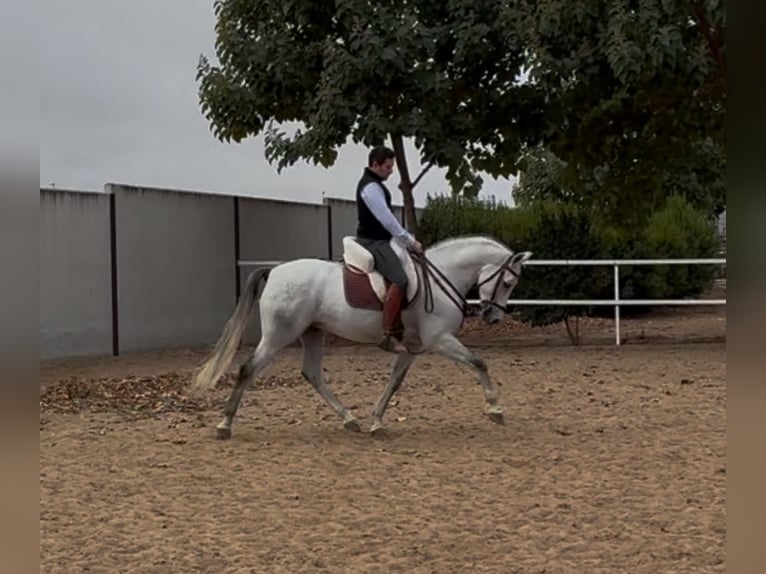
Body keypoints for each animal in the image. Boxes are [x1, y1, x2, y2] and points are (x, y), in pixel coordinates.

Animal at [190, 234, 532, 438]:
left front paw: (377, 421)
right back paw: (224, 424)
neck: (440, 277)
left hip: (313, 333)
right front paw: (495, 410)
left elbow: (394, 382)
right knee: (248, 368)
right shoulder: (440, 339)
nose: (493, 317)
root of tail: (274, 271)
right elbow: (479, 363)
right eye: (508, 283)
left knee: (312, 373)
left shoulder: (413, 347)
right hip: (279, 335)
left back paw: (349, 419)